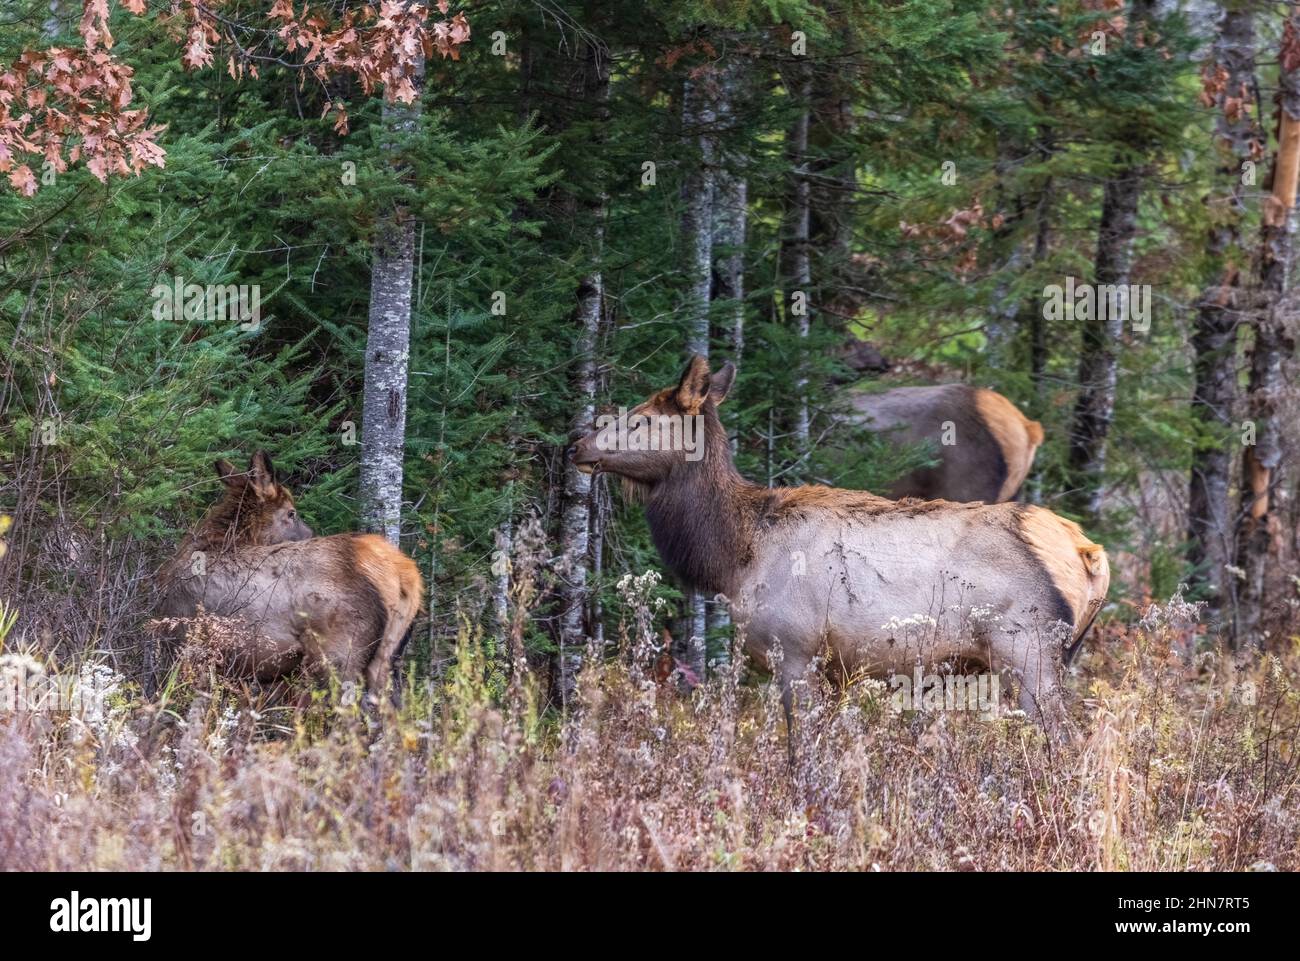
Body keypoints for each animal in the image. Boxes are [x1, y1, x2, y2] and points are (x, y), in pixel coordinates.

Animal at [156, 449, 421, 707]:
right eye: (291, 513)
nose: (311, 534)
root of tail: (405, 573)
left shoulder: (187, 644)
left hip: (340, 653)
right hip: (386, 658)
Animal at [569, 356, 1107, 738]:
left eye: (640, 420)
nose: (575, 445)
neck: (735, 556)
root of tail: (1091, 554)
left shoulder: (795, 649)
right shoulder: (837, 670)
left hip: (1029, 647)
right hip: (1061, 652)